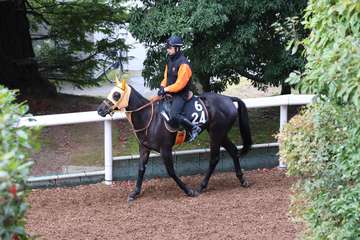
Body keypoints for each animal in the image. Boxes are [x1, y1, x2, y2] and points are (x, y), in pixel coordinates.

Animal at [97, 78, 252, 201]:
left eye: (116, 94)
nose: (100, 110)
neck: (149, 118)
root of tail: (228, 99)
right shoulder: (144, 148)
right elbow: (141, 169)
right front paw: (135, 193)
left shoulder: (165, 149)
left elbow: (171, 171)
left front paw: (188, 190)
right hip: (221, 133)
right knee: (233, 151)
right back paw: (242, 180)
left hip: (216, 133)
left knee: (214, 158)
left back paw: (201, 187)